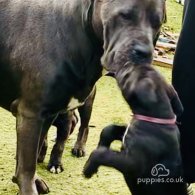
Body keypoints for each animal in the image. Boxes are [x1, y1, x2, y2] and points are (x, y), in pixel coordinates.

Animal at [0, 0, 166, 193]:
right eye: (124, 15)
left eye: (157, 24)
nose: (145, 53)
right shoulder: (31, 114)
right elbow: (27, 164)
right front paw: (28, 186)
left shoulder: (46, 116)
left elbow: (34, 152)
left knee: (84, 126)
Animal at [83, 64, 188, 195]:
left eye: (128, 72)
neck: (155, 117)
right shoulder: (127, 135)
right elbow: (108, 130)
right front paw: (102, 144)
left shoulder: (133, 163)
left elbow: (101, 154)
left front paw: (89, 168)